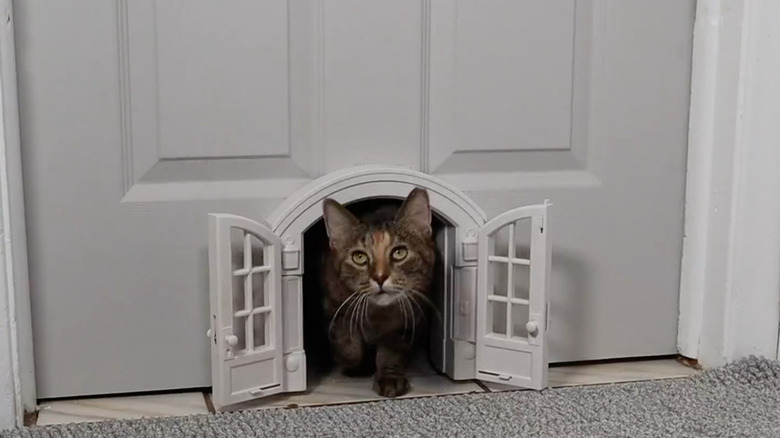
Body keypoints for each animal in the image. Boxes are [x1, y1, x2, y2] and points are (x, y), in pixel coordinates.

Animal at [318, 188, 438, 396]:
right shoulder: (333, 305)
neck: (378, 314)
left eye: (399, 252)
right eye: (359, 257)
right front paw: (356, 365)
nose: (380, 277)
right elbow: (347, 341)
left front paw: (389, 378)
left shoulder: (410, 318)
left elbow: (391, 351)